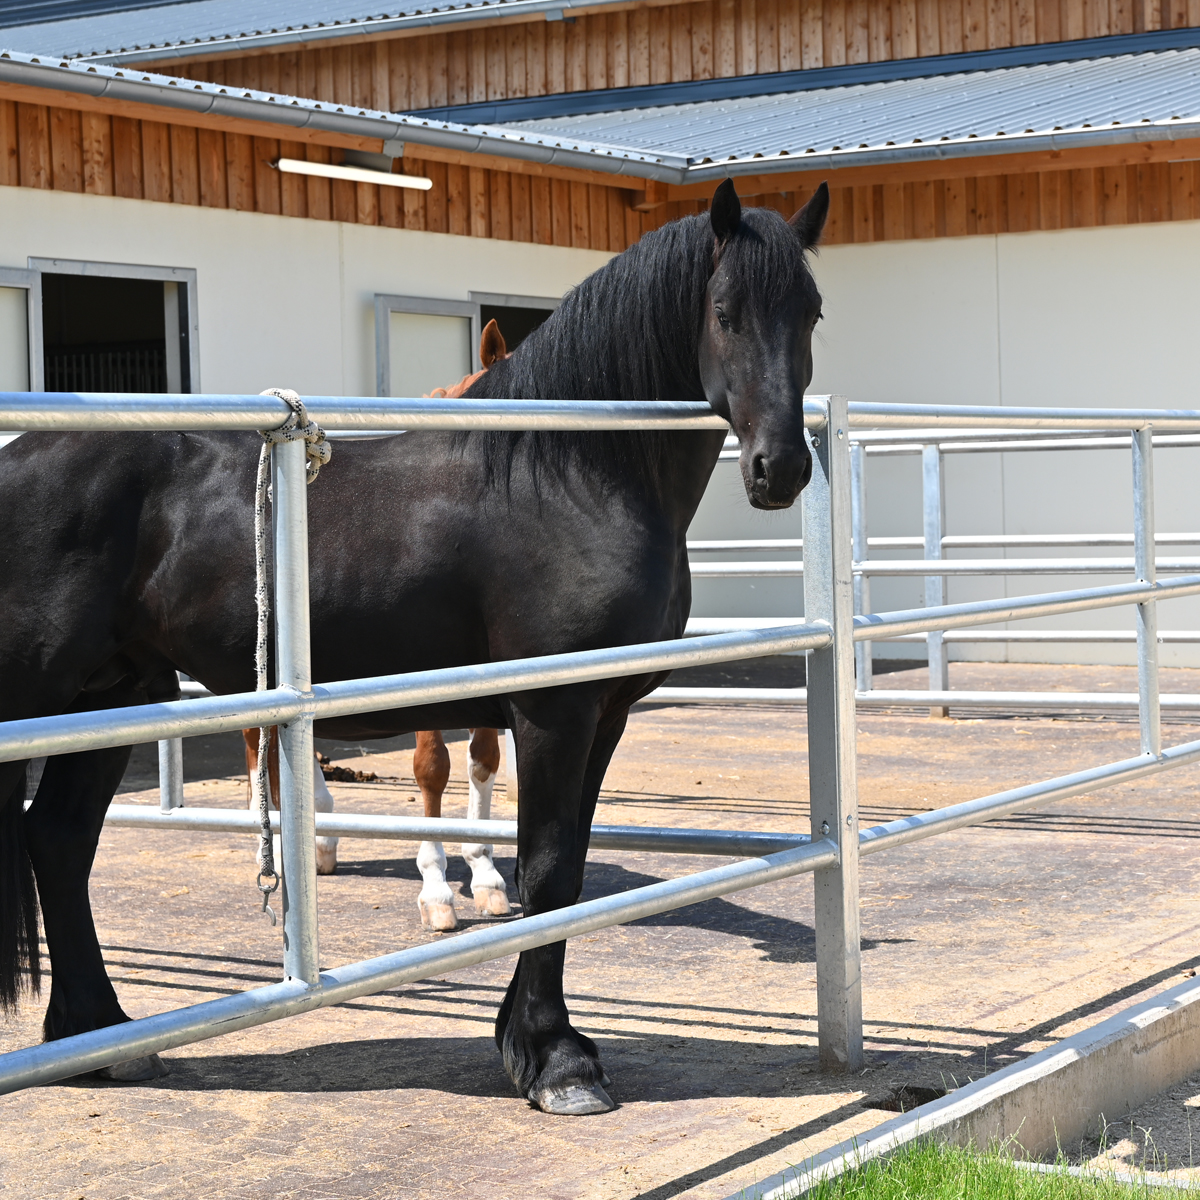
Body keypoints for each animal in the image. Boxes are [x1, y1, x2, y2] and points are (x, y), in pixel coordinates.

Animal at [0, 178, 828, 1112]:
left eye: (810, 313)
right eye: (724, 312)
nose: (780, 469)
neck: (572, 471)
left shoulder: (605, 714)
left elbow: (568, 869)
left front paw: (529, 1043)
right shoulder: (554, 711)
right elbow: (548, 873)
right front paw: (557, 1062)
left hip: (113, 693)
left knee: (59, 840)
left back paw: (102, 1038)